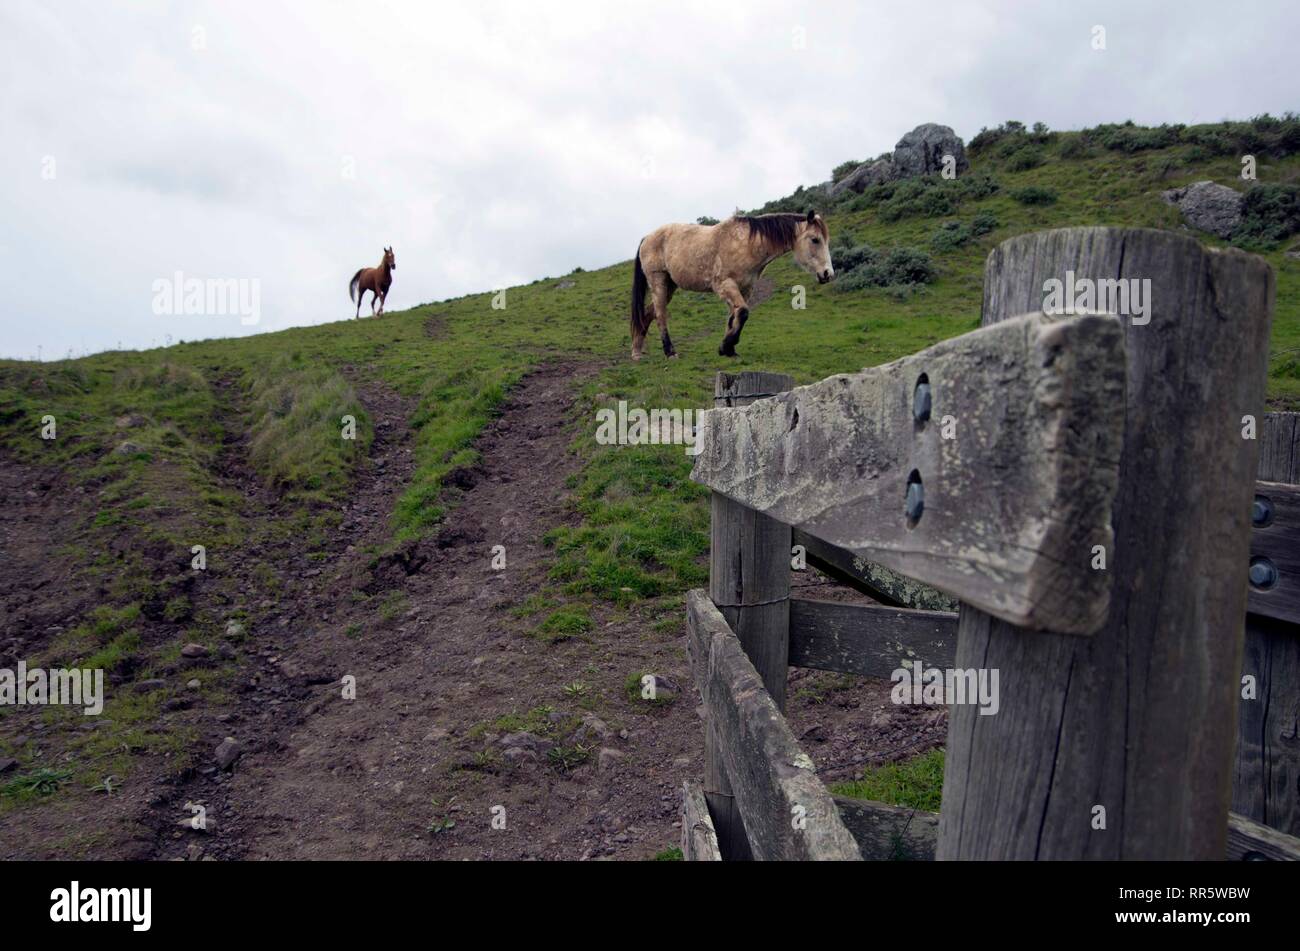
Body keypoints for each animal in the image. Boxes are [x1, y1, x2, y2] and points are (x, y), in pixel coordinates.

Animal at [629, 210, 833, 360]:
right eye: (815, 239)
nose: (827, 274)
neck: (746, 245)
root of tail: (647, 237)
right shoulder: (725, 285)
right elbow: (742, 312)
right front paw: (727, 345)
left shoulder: (745, 289)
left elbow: (734, 316)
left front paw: (727, 349)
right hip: (658, 281)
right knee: (660, 315)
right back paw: (670, 351)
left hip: (670, 285)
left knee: (648, 314)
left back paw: (637, 351)